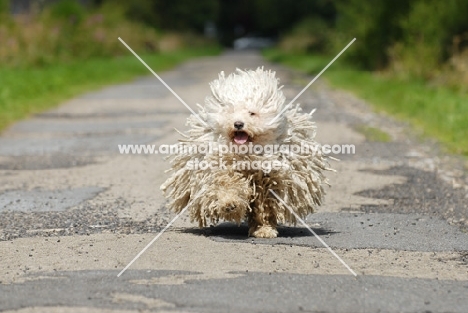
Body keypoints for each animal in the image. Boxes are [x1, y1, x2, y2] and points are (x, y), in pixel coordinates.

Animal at [163, 67, 330, 236]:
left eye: (252, 113)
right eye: (230, 112)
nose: (238, 124)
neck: (246, 154)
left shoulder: (268, 178)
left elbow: (265, 205)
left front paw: (264, 229)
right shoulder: (222, 166)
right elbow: (226, 184)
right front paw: (230, 203)